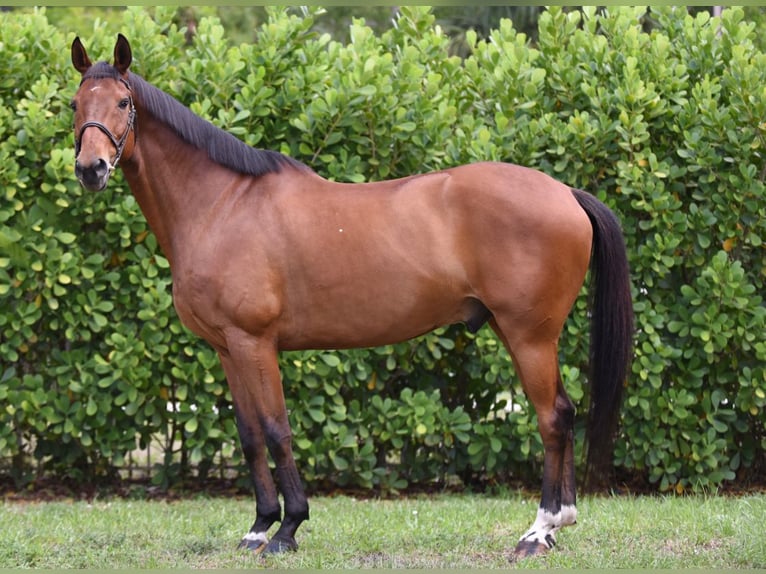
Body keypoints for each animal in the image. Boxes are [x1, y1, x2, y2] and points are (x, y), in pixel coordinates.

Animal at [69, 34, 633, 558]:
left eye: (123, 102)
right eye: (75, 103)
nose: (91, 169)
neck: (221, 205)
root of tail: (565, 193)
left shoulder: (255, 343)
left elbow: (277, 430)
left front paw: (288, 529)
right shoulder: (228, 348)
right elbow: (250, 436)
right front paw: (258, 528)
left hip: (530, 335)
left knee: (553, 418)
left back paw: (539, 532)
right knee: (562, 412)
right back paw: (556, 526)